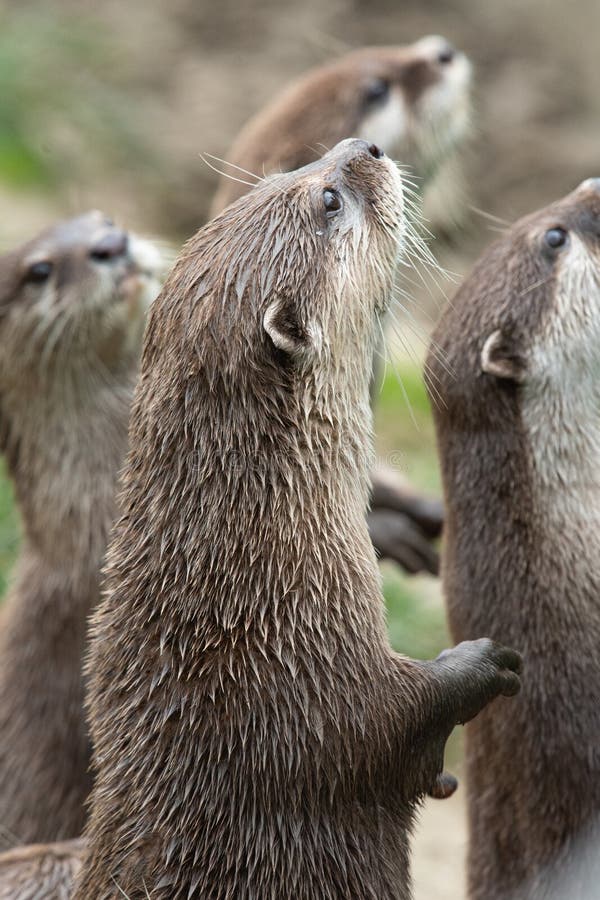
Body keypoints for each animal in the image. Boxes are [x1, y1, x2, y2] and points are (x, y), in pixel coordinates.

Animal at [73, 139, 520, 900]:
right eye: (329, 199)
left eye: (288, 172)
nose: (365, 147)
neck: (250, 574)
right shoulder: (305, 675)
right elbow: (382, 729)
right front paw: (480, 663)